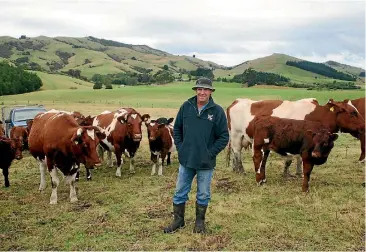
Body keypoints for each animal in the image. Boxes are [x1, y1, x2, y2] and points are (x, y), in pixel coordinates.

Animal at [227, 97, 364, 174]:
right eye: (353, 112)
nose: (364, 125)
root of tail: (237, 100)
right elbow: (290, 159)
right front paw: (287, 173)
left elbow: (298, 158)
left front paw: (297, 172)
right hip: (235, 134)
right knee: (237, 152)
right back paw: (241, 170)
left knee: (234, 153)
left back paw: (235, 168)